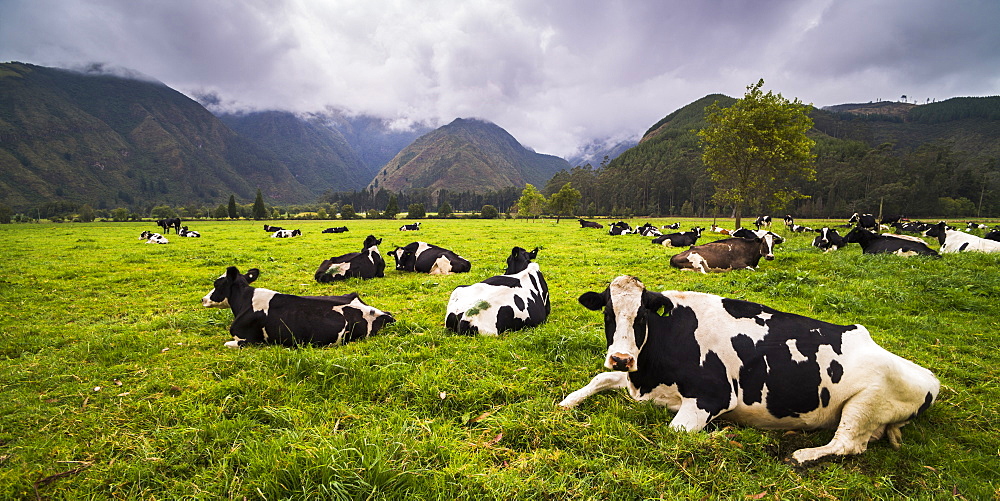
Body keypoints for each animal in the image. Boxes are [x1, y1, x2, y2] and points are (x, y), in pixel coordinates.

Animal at [201, 266, 392, 348]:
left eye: (217, 284)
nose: (203, 299)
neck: (245, 302)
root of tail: (384, 314)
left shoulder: (248, 341)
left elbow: (227, 343)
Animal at [560, 274, 940, 464]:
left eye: (641, 316)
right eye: (607, 313)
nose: (622, 357)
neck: (648, 374)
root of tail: (929, 378)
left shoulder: (712, 396)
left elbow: (674, 432)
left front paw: (724, 435)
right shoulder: (636, 380)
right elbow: (600, 377)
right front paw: (565, 403)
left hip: (865, 402)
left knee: (848, 444)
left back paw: (801, 455)